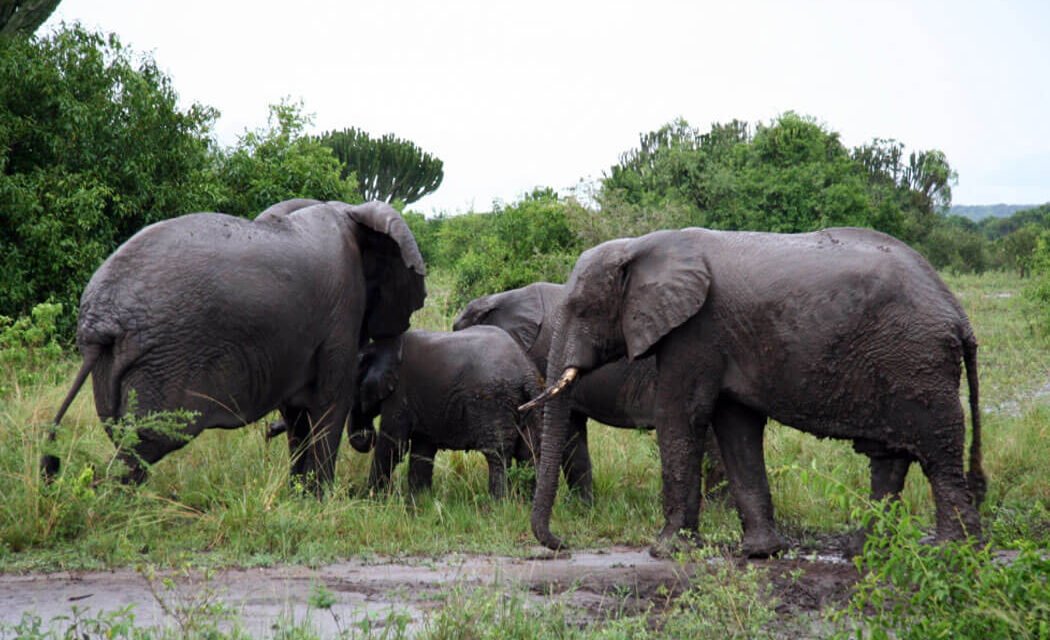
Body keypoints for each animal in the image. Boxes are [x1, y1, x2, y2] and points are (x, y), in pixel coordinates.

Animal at [43, 199, 426, 491]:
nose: (366, 436)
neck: (349, 212)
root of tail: (100, 319)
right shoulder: (342, 310)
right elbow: (330, 403)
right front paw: (319, 500)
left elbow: (298, 415)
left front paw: (298, 496)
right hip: (160, 364)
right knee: (147, 442)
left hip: (115, 365)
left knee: (126, 438)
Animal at [345, 326, 543, 498]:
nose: (369, 433)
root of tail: (526, 371)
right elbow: (422, 450)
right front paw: (420, 503)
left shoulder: (400, 395)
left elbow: (393, 445)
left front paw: (370, 499)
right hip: (527, 404)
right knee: (529, 452)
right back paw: (526, 502)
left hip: (493, 401)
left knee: (497, 454)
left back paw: (497, 505)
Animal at [523, 226, 985, 557]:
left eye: (583, 309)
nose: (564, 546)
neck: (640, 246)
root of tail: (959, 315)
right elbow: (736, 427)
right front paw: (760, 553)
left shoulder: (696, 330)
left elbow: (681, 417)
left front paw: (665, 550)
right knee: (890, 458)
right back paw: (863, 550)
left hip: (917, 360)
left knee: (937, 450)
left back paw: (949, 550)